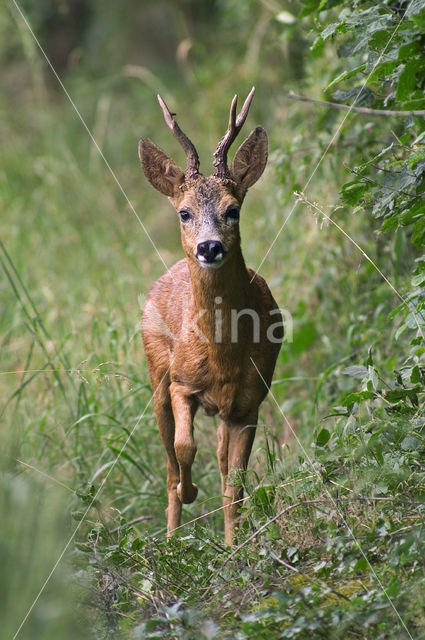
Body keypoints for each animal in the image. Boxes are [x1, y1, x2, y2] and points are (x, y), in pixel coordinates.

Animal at [139, 87, 282, 544]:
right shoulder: (181, 383)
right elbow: (185, 448)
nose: (209, 247)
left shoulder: (250, 401)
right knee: (168, 461)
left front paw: (235, 546)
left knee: (220, 462)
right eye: (184, 212)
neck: (222, 357)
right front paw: (190, 492)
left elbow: (234, 480)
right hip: (155, 372)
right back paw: (171, 542)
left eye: (233, 209)